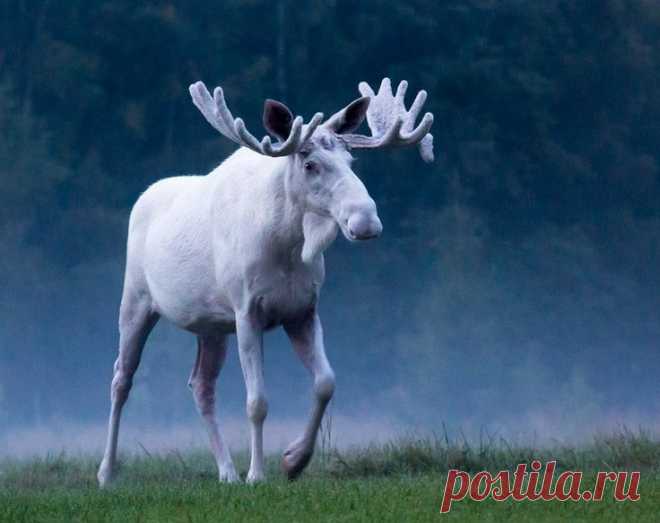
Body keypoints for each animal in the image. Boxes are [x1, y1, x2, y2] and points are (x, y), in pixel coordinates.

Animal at [97, 77, 434, 487]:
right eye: (310, 163)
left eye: (351, 161)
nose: (366, 220)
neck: (286, 246)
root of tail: (142, 198)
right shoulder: (247, 311)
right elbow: (257, 401)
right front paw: (257, 474)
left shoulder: (302, 311)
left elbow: (326, 383)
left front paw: (294, 461)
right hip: (136, 301)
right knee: (121, 379)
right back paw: (107, 472)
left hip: (211, 326)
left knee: (201, 385)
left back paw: (226, 471)